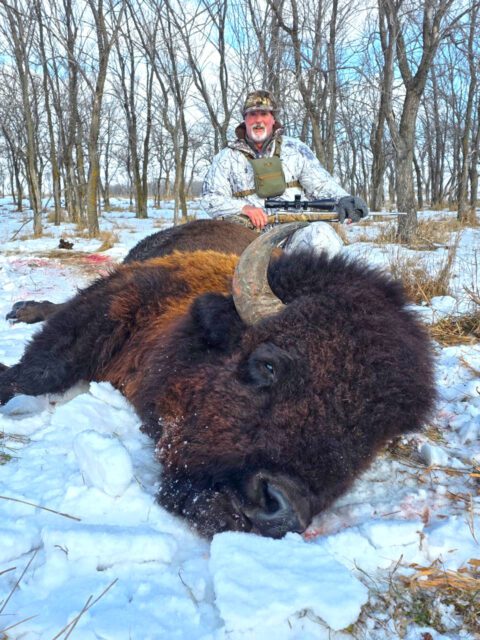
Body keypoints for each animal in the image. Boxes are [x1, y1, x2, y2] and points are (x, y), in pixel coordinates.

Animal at [0, 219, 435, 538]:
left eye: (375, 437)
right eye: (268, 365)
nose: (279, 508)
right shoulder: (114, 301)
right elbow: (40, 370)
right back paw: (23, 308)